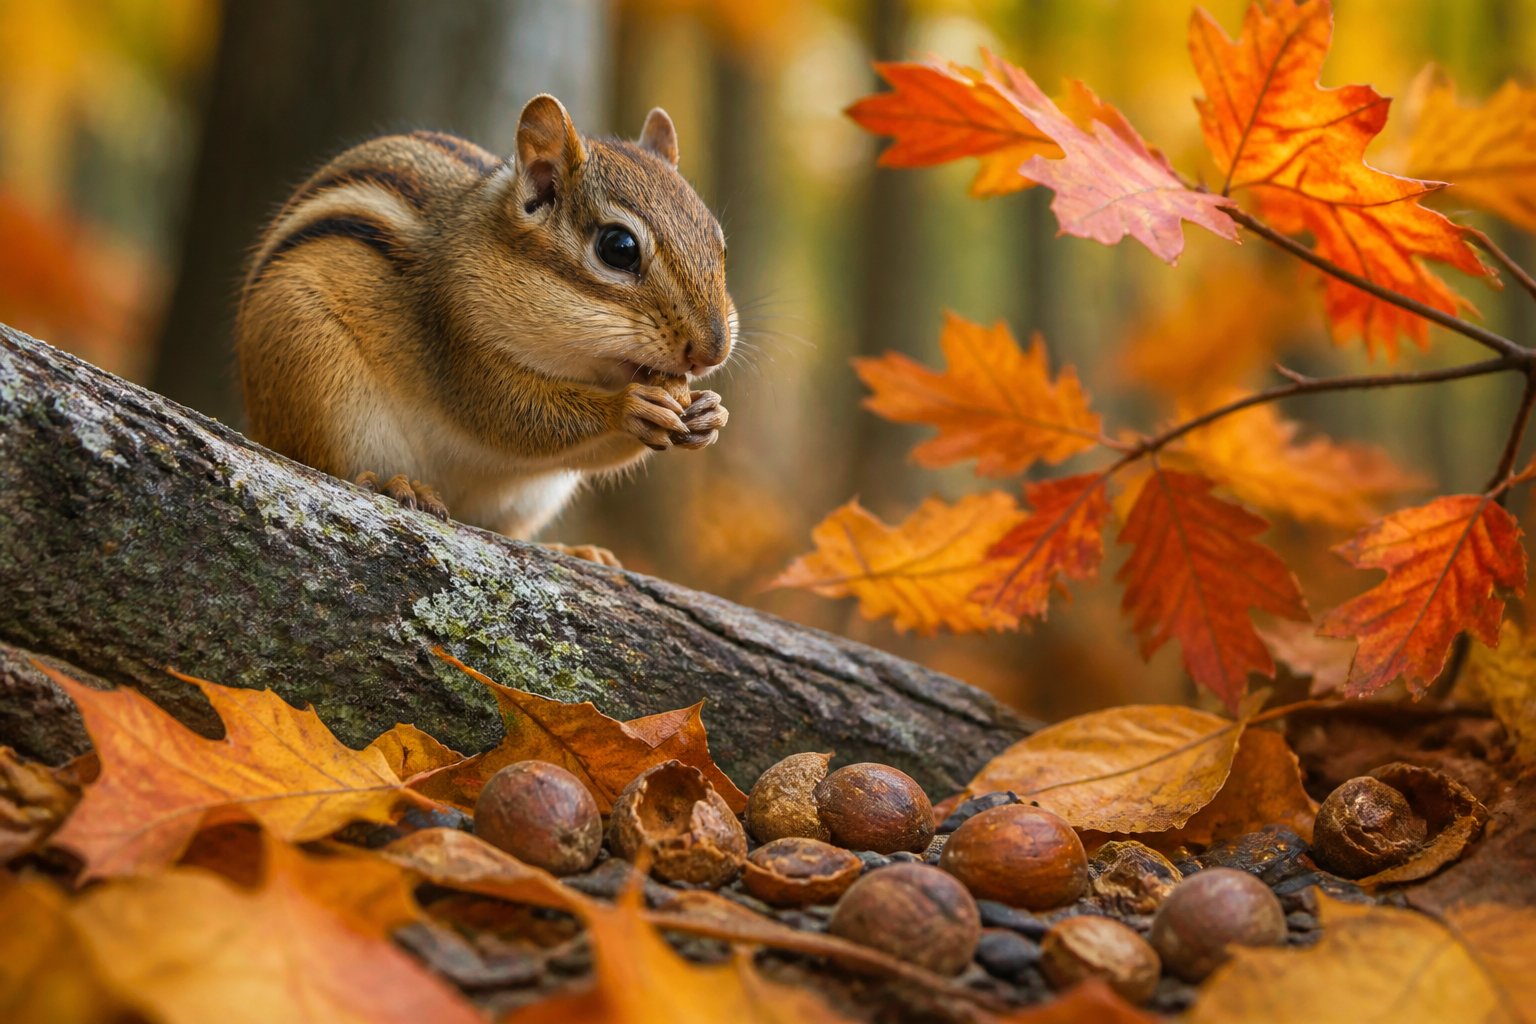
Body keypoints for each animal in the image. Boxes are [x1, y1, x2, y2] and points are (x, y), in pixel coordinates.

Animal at [235, 95, 734, 565]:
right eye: (619, 248)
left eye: (719, 243)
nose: (712, 351)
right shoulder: (453, 329)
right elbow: (507, 413)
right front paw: (628, 407)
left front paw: (710, 413)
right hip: (309, 369)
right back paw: (395, 485)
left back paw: (573, 550)